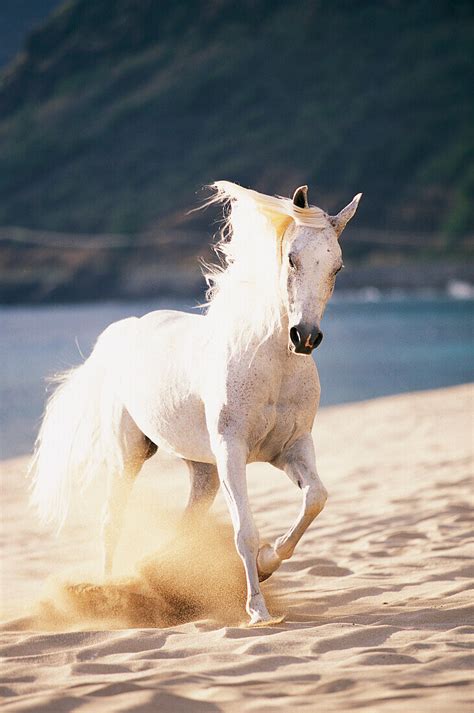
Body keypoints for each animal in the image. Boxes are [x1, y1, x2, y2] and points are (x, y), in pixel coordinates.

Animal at [31, 181, 362, 624]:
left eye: (337, 267)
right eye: (292, 258)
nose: (305, 337)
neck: (270, 365)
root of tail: (122, 332)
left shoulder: (291, 448)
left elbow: (316, 499)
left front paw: (267, 563)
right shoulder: (231, 451)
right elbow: (244, 530)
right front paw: (257, 610)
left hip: (203, 470)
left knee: (186, 523)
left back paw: (158, 575)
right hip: (129, 456)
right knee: (111, 521)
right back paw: (108, 592)